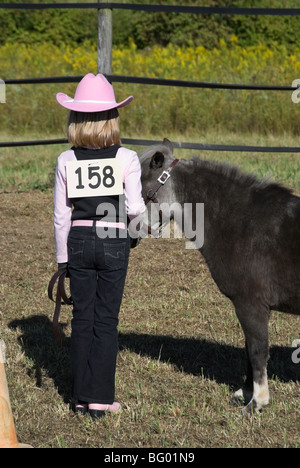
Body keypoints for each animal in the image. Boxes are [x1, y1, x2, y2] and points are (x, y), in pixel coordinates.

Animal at [141, 138, 300, 414]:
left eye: (139, 187)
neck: (244, 224)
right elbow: (249, 349)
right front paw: (244, 392)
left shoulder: (251, 305)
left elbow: (257, 350)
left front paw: (256, 403)